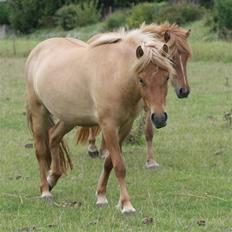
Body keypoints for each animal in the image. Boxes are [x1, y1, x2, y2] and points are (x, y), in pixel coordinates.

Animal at [25, 29, 174, 214]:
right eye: (141, 79)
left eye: (166, 77)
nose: (159, 118)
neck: (116, 75)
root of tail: (37, 50)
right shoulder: (108, 126)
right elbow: (119, 165)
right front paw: (126, 205)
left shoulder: (125, 126)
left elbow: (109, 163)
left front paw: (101, 196)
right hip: (39, 111)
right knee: (41, 151)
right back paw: (45, 191)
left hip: (70, 118)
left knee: (53, 137)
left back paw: (52, 178)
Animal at [82, 23, 191, 169]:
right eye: (171, 59)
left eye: (186, 57)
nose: (184, 91)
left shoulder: (152, 106)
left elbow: (149, 131)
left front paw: (151, 161)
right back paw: (93, 148)